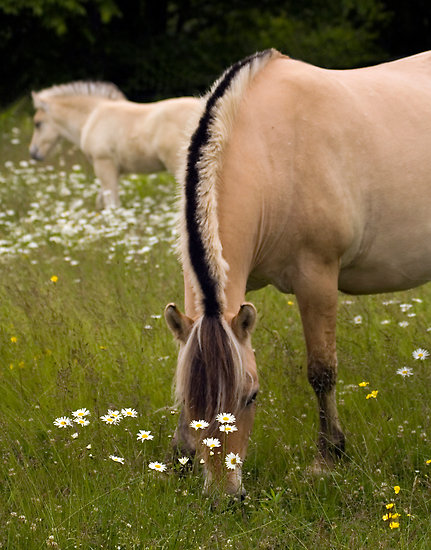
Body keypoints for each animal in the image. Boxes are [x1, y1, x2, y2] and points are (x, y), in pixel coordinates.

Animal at [30, 82, 202, 209]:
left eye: (38, 123)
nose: (33, 153)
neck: (91, 116)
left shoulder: (104, 164)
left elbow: (112, 204)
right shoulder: (113, 170)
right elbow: (102, 201)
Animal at [166, 49, 431, 498]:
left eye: (252, 396)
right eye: (188, 401)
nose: (224, 498)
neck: (273, 153)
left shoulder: (317, 278)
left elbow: (322, 372)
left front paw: (328, 457)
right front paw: (179, 457)